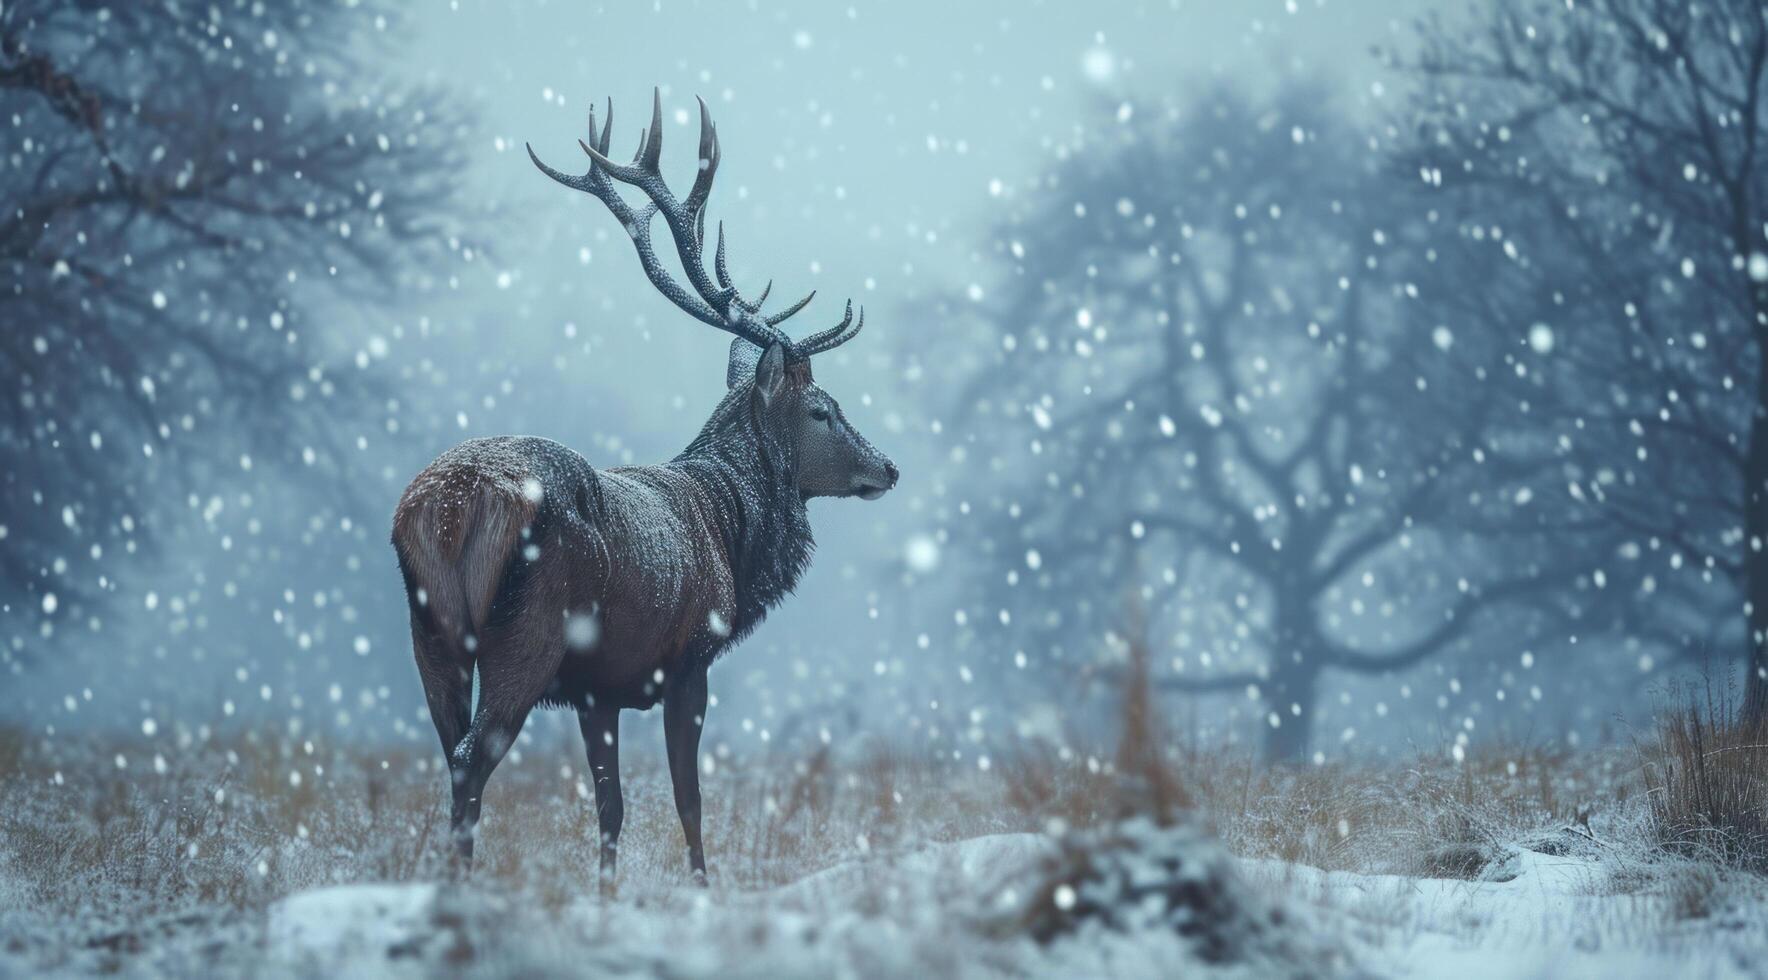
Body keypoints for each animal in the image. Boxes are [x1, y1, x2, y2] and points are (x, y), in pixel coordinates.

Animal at [396, 89, 905, 884]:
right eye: (823, 409)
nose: (887, 467)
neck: (730, 529)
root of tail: (449, 510)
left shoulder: (597, 689)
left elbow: (610, 810)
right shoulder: (688, 658)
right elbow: (687, 799)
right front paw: (701, 888)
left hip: (432, 633)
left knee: (450, 757)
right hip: (532, 631)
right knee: (473, 757)